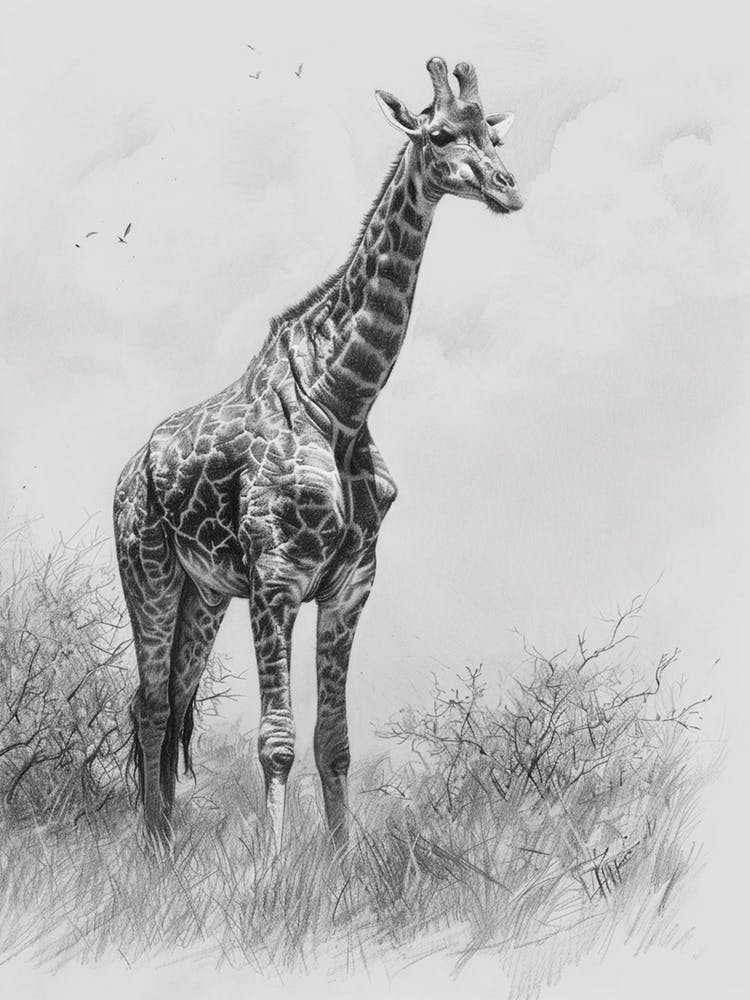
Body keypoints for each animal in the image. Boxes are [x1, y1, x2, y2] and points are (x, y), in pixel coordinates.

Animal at [113, 56, 522, 853]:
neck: (343, 399)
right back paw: (152, 851)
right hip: (147, 572)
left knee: (174, 700)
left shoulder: (349, 587)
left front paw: (338, 862)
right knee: (149, 706)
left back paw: (169, 843)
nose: (507, 186)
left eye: (492, 133)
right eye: (438, 133)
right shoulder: (276, 579)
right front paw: (272, 867)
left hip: (204, 592)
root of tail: (127, 473)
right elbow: (276, 739)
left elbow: (334, 742)